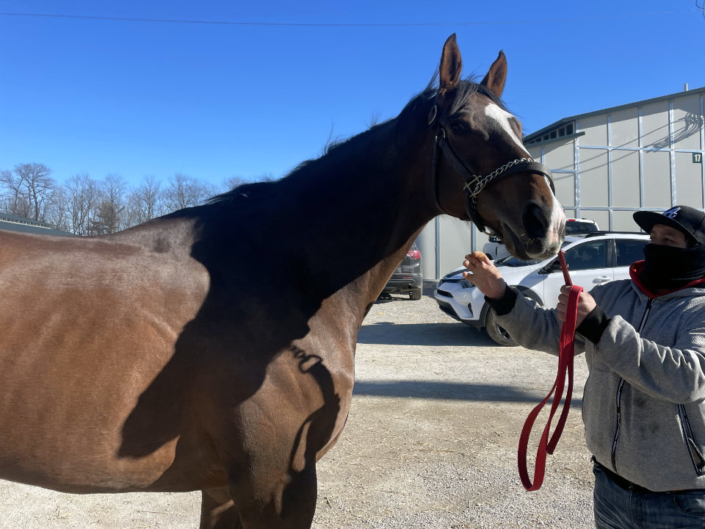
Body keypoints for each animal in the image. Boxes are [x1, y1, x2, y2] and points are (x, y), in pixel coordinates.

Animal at [0, 35, 565, 528]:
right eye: (463, 126)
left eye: (517, 125)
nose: (547, 222)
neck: (281, 274)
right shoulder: (274, 489)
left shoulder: (223, 490)